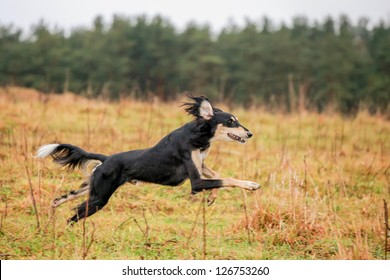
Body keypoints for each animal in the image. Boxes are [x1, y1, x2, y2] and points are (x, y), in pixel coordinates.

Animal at [36, 93, 260, 224]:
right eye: (231, 121)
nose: (250, 134)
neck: (198, 134)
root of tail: (106, 158)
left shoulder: (201, 164)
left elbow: (217, 175)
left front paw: (213, 196)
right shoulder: (195, 181)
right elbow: (225, 179)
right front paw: (250, 185)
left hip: (92, 188)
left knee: (59, 199)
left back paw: (50, 220)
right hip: (99, 197)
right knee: (73, 216)